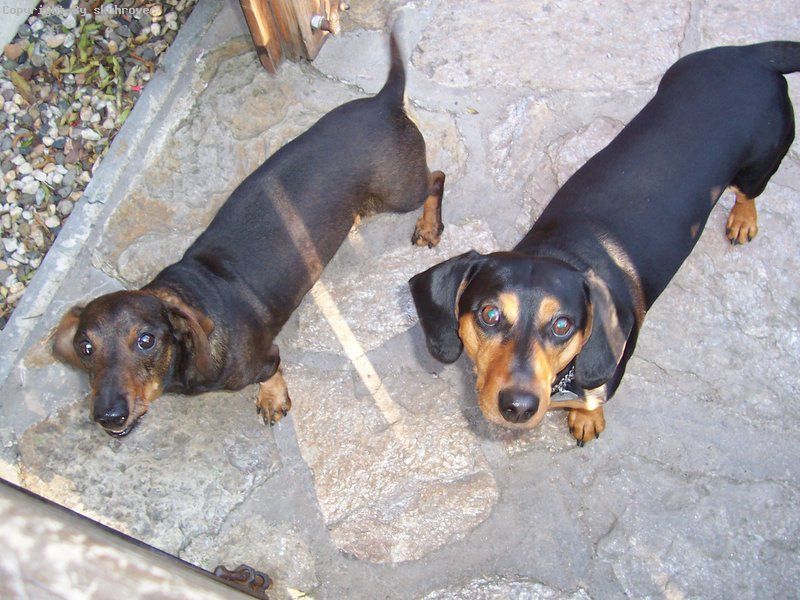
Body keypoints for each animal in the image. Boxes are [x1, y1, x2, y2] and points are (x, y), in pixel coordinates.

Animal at [53, 32, 446, 438]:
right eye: (85, 347)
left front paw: (272, 400)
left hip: (401, 193)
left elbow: (270, 375)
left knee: (436, 178)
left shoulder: (264, 359)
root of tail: (384, 100)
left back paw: (428, 226)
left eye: (146, 341)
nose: (108, 416)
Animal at [410, 41, 799, 445]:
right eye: (489, 314)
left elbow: (591, 402)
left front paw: (587, 418)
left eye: (562, 325)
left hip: (759, 164)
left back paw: (743, 219)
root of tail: (752, 56)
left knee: (749, 193)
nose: (517, 407)